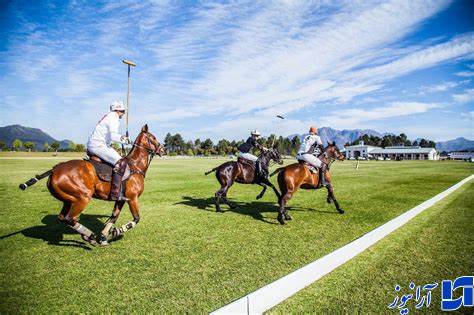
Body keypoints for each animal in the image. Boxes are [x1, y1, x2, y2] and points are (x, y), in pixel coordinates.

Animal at [18, 124, 167, 246]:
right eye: (153, 137)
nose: (164, 150)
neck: (135, 166)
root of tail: (54, 169)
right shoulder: (132, 198)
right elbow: (136, 219)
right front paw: (116, 232)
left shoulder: (121, 199)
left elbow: (113, 217)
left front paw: (104, 236)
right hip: (83, 197)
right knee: (70, 218)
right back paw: (90, 236)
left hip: (68, 199)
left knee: (63, 217)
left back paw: (89, 236)